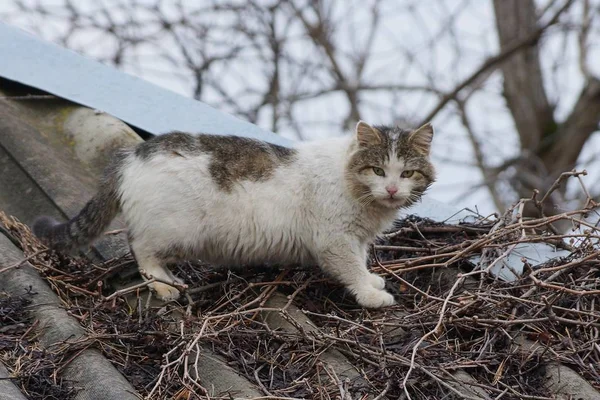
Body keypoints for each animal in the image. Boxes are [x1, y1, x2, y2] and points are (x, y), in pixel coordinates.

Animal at [32, 120, 434, 308]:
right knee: (142, 251)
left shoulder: (358, 239)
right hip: (172, 230)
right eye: (378, 171)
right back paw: (164, 286)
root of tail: (132, 153)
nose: (392, 189)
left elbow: (362, 262)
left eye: (406, 173)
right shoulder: (335, 241)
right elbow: (351, 269)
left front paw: (372, 281)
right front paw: (370, 295)